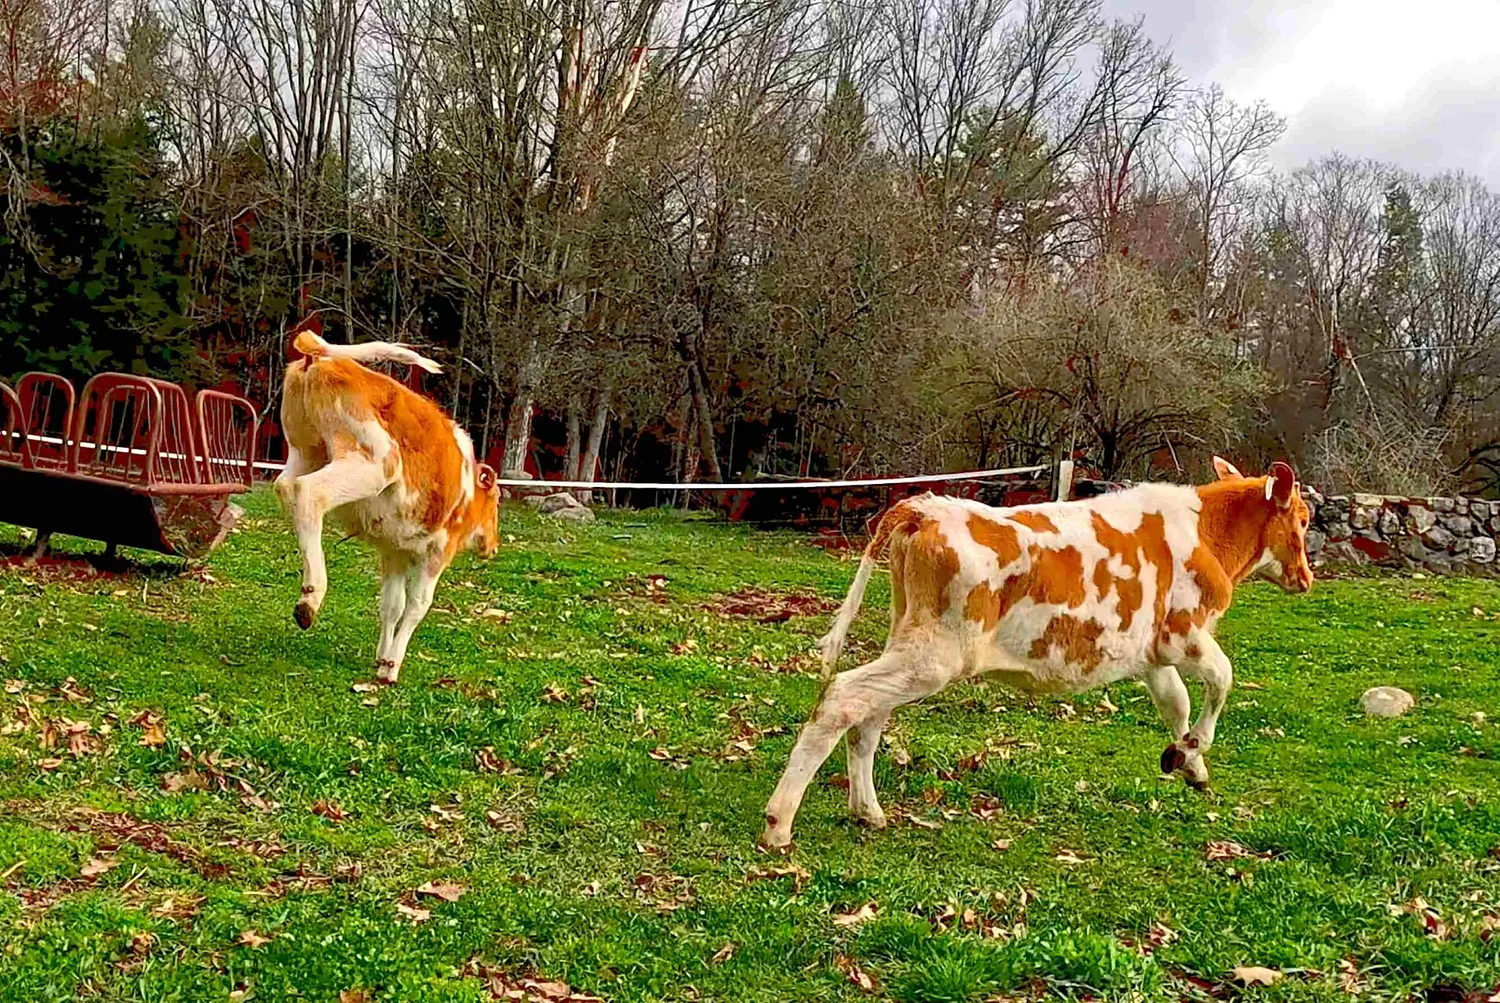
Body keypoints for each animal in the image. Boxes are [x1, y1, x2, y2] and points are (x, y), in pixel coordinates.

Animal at [275, 328, 500, 684]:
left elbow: (391, 605)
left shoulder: (394, 550)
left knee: (285, 487)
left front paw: (381, 659)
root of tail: (323, 356)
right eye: (497, 500)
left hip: (304, 450)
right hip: (373, 463)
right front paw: (392, 666)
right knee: (310, 492)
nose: (493, 545)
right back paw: (311, 596)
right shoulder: (437, 553)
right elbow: (418, 605)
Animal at [761, 458, 1312, 848]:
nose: (1307, 578)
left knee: (870, 714)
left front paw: (1188, 762)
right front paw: (1194, 749)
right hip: (936, 655)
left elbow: (1175, 703)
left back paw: (867, 811)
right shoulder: (1184, 634)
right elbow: (1223, 678)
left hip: (911, 641)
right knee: (843, 696)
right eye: (1305, 520)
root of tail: (923, 508)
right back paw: (779, 823)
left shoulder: (1150, 653)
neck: (1205, 535)